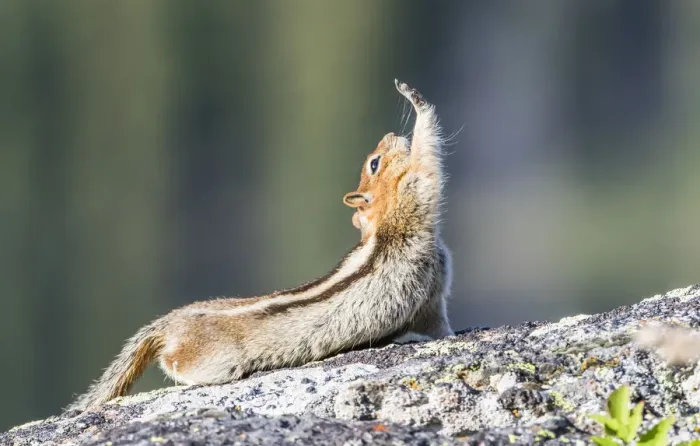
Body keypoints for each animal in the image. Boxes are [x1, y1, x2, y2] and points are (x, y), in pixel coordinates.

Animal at [67, 80, 453, 411]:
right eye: (375, 163)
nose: (390, 135)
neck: (382, 224)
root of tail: (169, 323)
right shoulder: (415, 196)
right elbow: (427, 162)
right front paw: (416, 101)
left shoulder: (431, 297)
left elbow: (438, 323)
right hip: (211, 361)